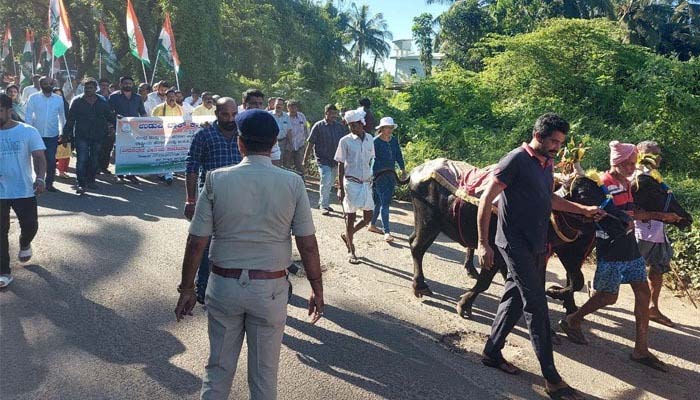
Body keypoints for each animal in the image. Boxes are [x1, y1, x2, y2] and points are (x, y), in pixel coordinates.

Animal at [400, 161, 696, 318]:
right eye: (655, 191)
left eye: (602, 191)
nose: (687, 217)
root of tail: (419, 169)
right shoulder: (502, 250)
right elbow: (488, 281)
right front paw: (465, 304)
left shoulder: (565, 252)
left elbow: (575, 281)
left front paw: (562, 301)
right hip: (428, 222)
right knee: (416, 247)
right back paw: (421, 286)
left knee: (416, 242)